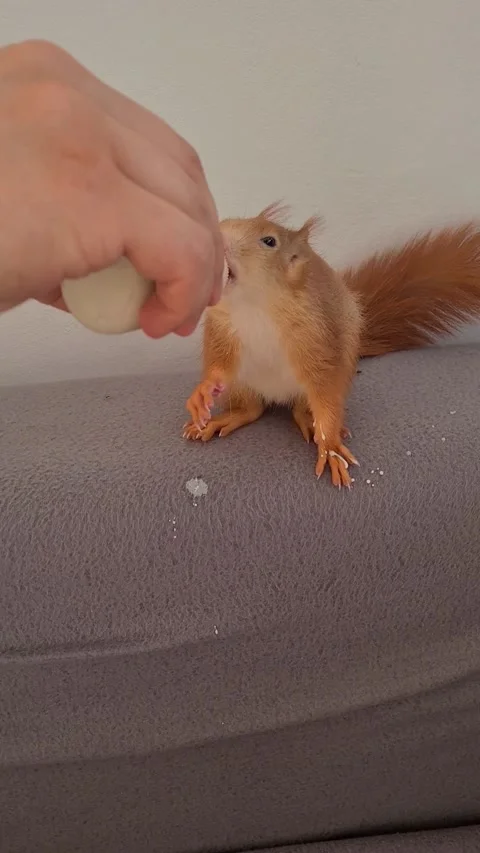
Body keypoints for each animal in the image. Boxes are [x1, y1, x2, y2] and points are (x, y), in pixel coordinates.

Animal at [183, 203, 480, 488]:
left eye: (269, 241)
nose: (217, 233)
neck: (254, 305)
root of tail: (275, 395)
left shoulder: (317, 338)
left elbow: (325, 391)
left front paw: (330, 447)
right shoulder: (222, 332)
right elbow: (220, 365)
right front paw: (203, 391)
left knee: (300, 407)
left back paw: (310, 423)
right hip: (243, 385)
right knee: (252, 409)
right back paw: (223, 419)